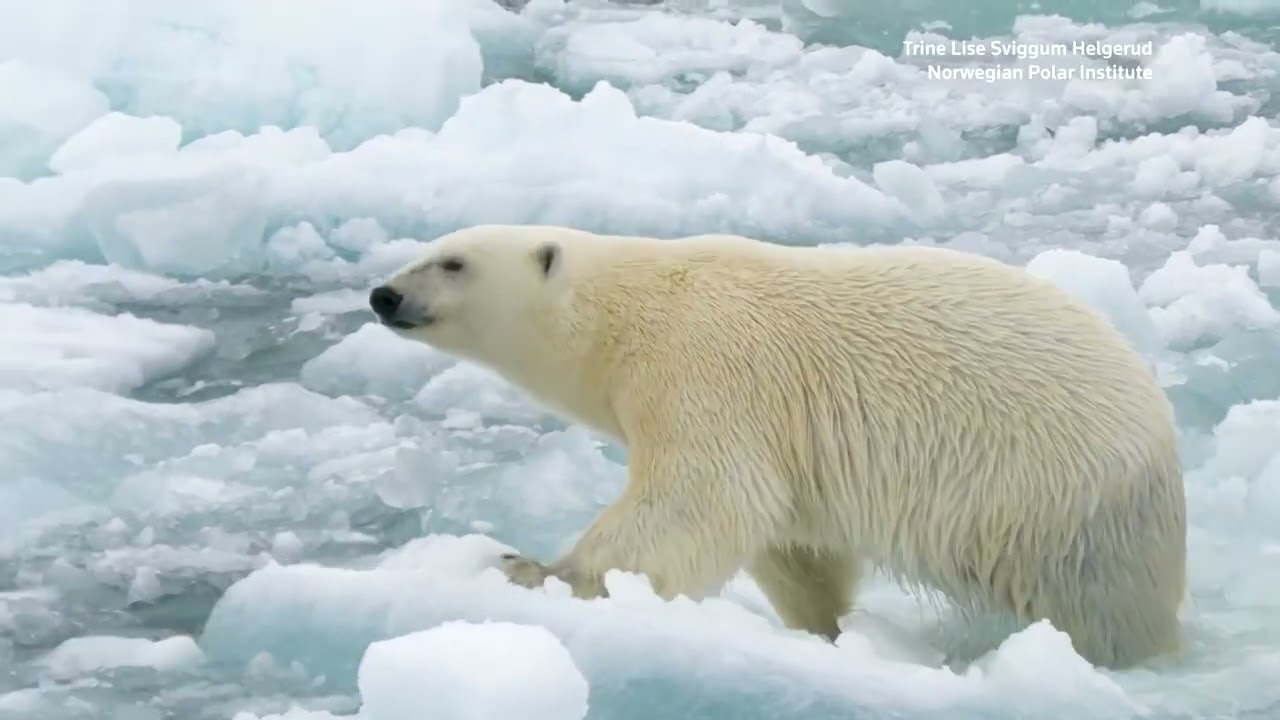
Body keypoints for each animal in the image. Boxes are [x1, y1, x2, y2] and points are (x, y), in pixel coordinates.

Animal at [368, 223, 1187, 669]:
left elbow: (702, 499)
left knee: (1103, 608)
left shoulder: (707, 365)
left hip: (1072, 511)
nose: (383, 295)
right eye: (425, 249)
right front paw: (825, 630)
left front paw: (535, 568)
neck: (628, 312)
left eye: (452, 262)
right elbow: (794, 540)